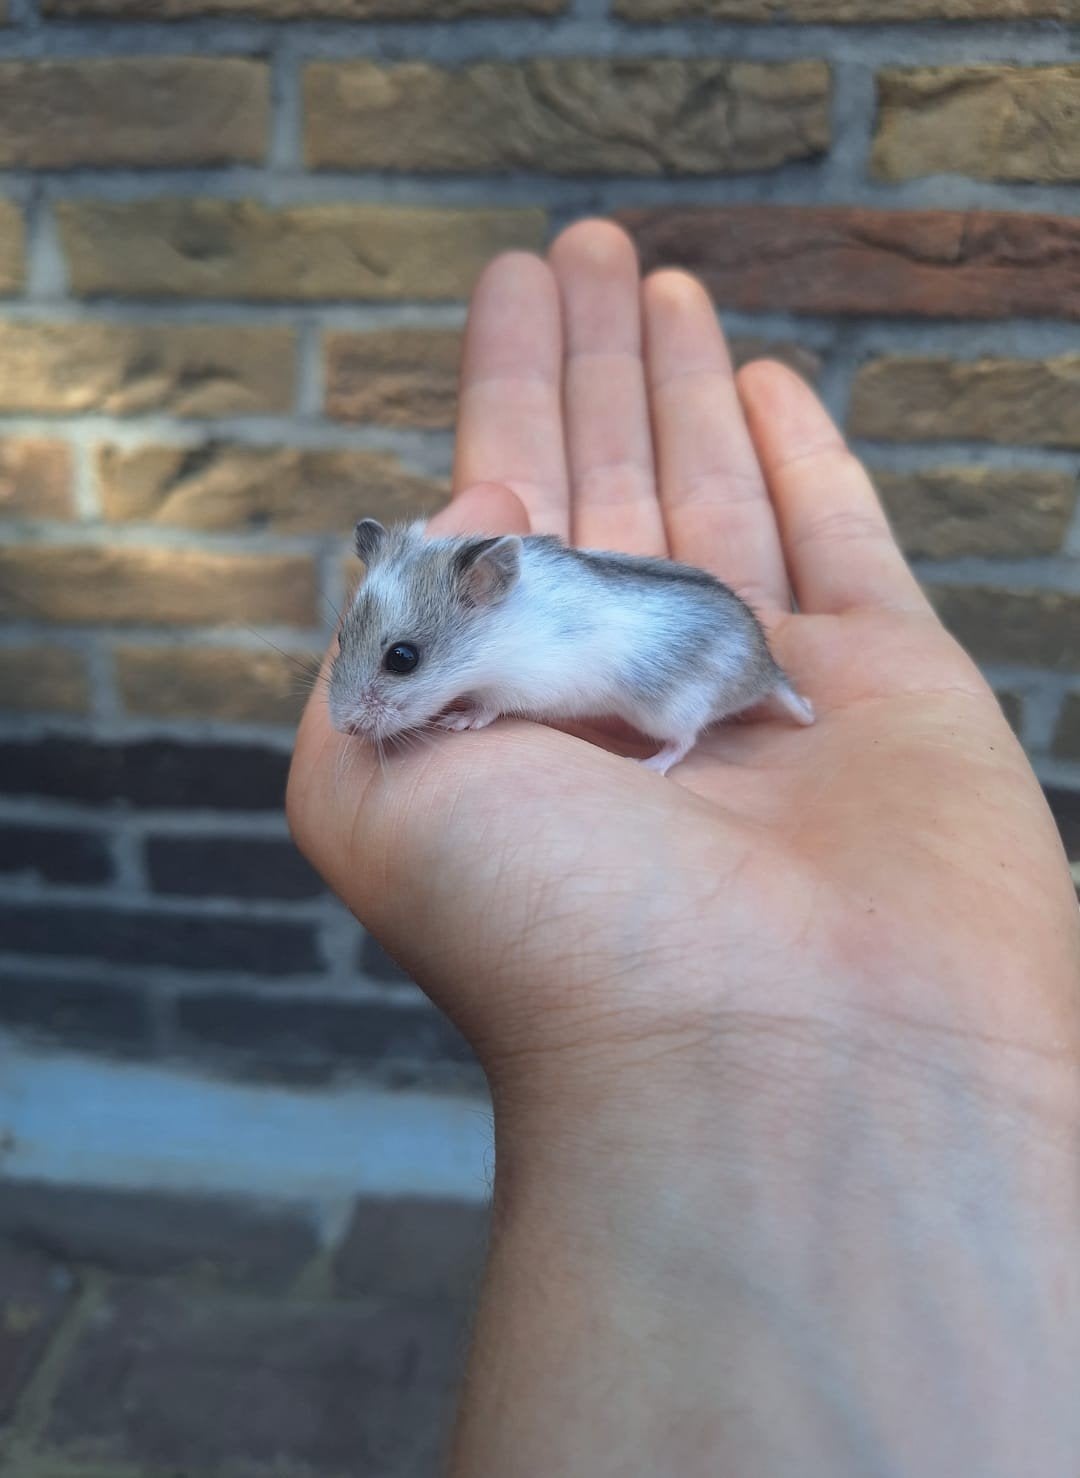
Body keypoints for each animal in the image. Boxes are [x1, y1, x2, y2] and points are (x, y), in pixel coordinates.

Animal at [329, 518, 813, 775]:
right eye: (341, 636)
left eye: (402, 658)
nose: (342, 728)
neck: (493, 638)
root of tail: (767, 670)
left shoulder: (521, 684)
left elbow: (488, 707)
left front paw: (457, 721)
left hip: (670, 708)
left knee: (685, 741)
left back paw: (646, 765)